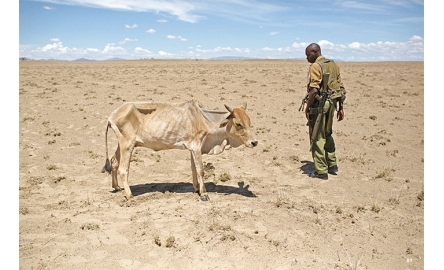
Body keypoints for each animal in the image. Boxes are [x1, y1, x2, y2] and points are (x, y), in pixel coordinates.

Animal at [102, 99, 258, 200]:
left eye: (249, 122)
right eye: (238, 124)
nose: (254, 142)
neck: (205, 119)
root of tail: (112, 115)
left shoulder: (192, 148)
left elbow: (193, 168)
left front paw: (196, 189)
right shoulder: (196, 146)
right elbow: (201, 170)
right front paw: (204, 194)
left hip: (122, 145)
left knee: (114, 162)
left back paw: (117, 187)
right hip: (127, 145)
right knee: (123, 169)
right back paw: (129, 196)